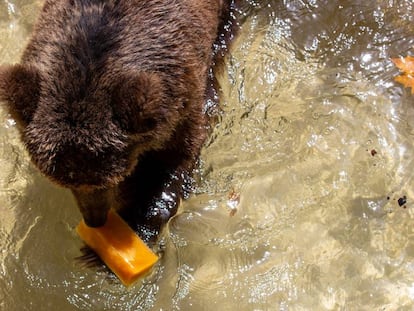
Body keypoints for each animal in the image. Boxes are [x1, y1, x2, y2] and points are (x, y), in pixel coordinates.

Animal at [0, 0, 233, 241]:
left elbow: (174, 159)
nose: (95, 220)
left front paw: (139, 220)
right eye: (67, 182)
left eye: (102, 183)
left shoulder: (184, 99)